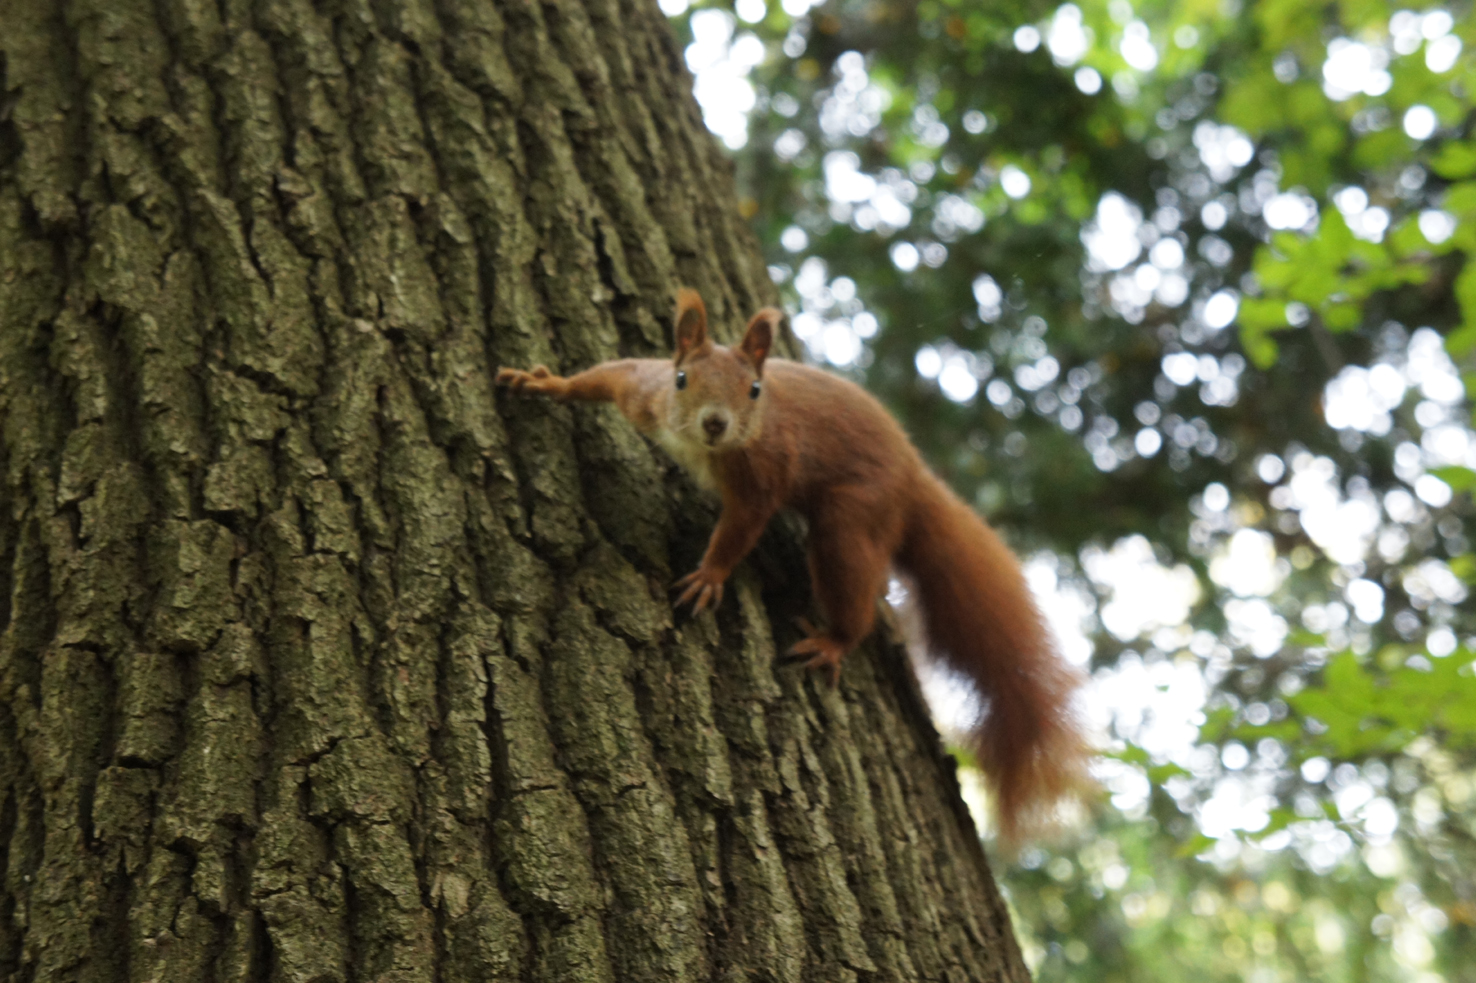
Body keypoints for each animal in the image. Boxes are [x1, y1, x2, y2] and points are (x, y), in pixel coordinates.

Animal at [501, 289, 1092, 832]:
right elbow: (608, 373)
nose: (715, 423)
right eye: (682, 379)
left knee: (854, 583)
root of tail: (912, 476)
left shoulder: (762, 472)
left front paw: (710, 576)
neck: (705, 448)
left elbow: (740, 530)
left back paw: (834, 640)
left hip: (850, 520)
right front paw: (546, 383)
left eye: (754, 391)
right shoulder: (644, 393)